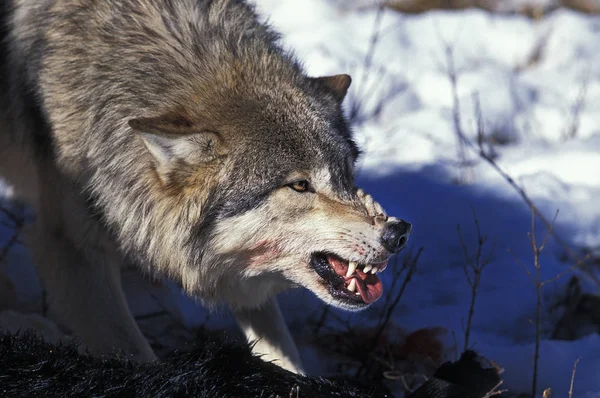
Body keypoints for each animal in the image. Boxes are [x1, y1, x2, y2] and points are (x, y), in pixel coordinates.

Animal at [0, 0, 412, 374]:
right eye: (299, 185)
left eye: (346, 174)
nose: (398, 232)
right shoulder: (72, 248)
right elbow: (136, 354)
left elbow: (281, 351)